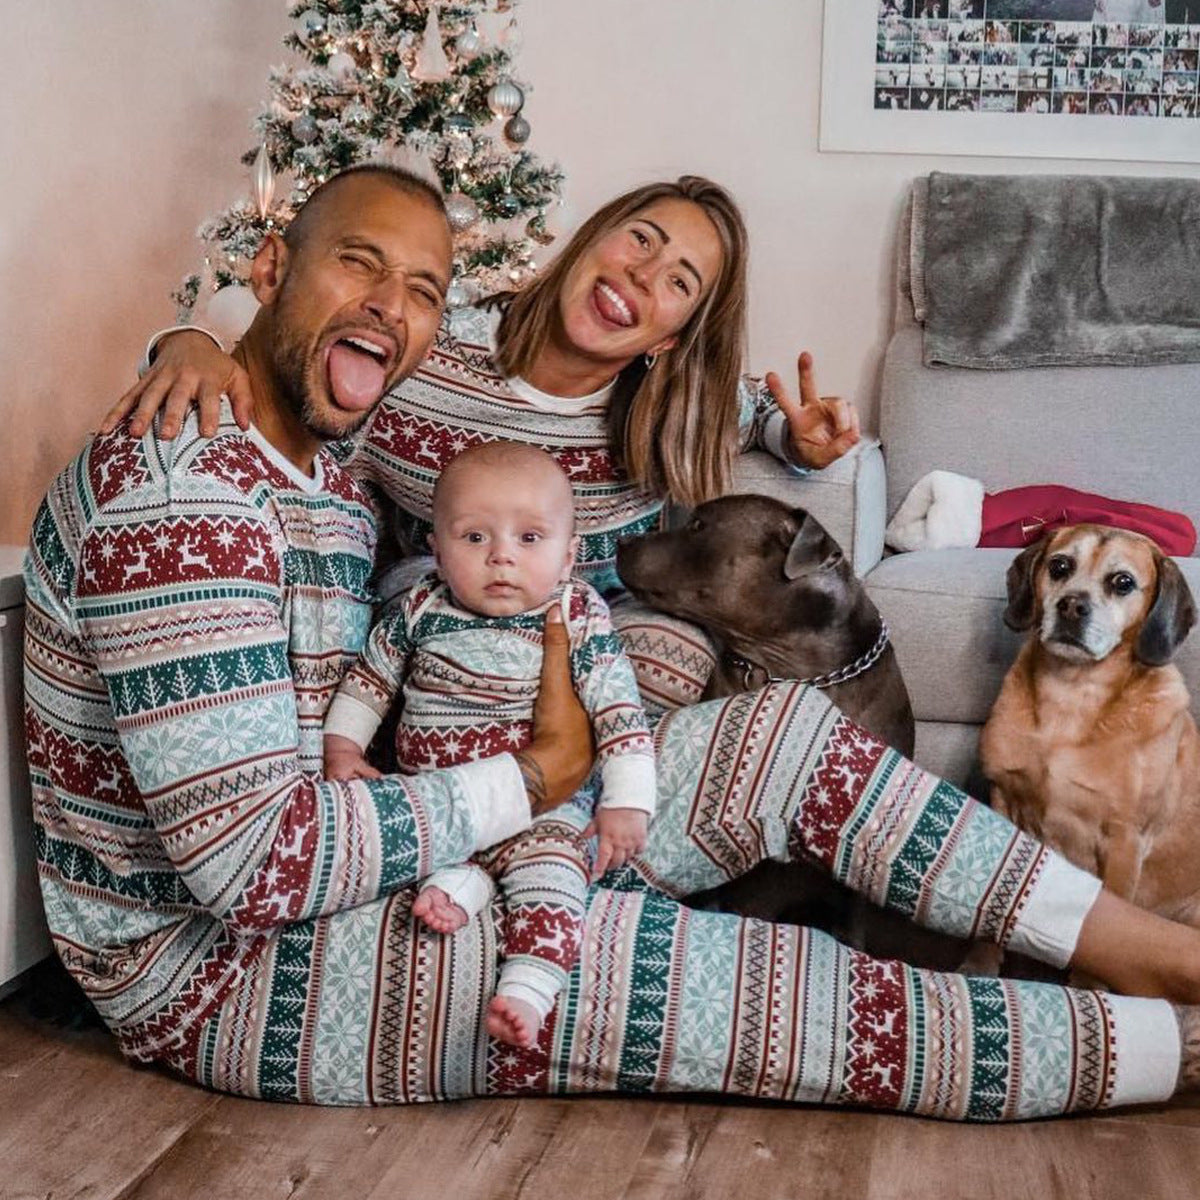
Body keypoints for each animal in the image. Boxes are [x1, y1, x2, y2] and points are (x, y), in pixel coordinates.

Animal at [979, 520, 1195, 921]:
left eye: (1123, 582)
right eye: (1059, 566)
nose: (1071, 605)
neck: (1072, 693)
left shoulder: (1125, 843)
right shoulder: (1003, 797)